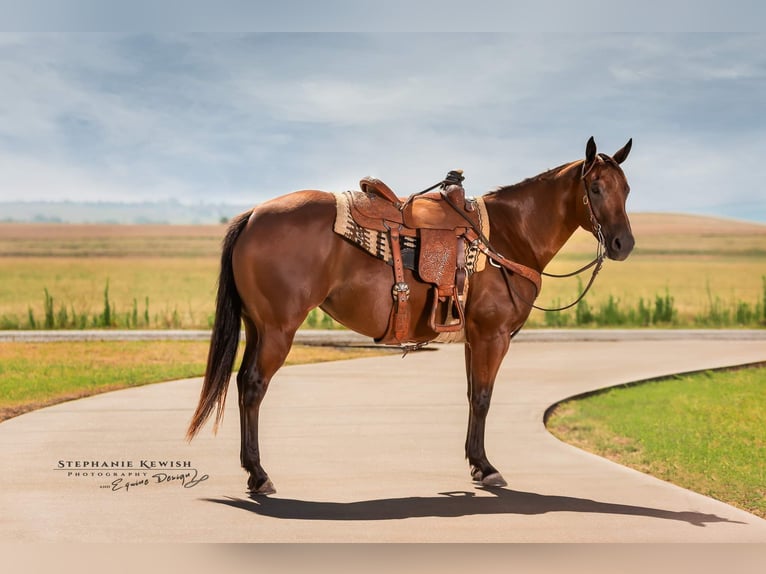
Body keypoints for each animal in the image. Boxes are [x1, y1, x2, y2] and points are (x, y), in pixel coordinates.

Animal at [186, 138, 636, 496]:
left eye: (627, 189)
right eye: (596, 187)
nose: (623, 244)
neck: (509, 235)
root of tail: (253, 215)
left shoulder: (474, 337)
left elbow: (473, 395)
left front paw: (476, 464)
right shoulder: (493, 336)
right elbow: (485, 397)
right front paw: (487, 467)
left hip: (257, 327)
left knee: (242, 382)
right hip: (278, 330)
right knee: (253, 387)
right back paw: (259, 474)